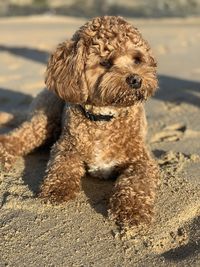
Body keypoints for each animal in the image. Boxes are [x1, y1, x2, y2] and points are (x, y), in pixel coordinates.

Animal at [0, 15, 159, 227]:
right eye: (105, 62)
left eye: (137, 59)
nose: (136, 80)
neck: (104, 119)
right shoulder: (66, 146)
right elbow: (62, 165)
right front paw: (57, 189)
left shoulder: (143, 159)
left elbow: (137, 181)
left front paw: (133, 210)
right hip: (44, 121)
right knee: (17, 138)